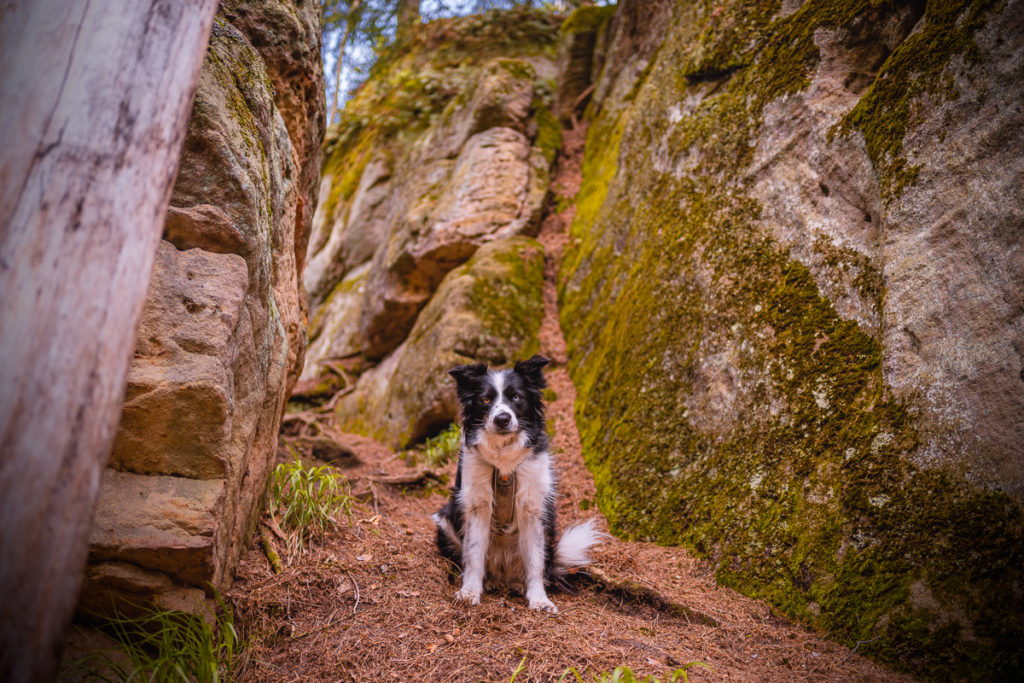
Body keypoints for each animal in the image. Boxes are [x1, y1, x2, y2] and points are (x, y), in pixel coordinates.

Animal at [430, 356, 602, 610]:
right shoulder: (477, 505)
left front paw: (539, 598)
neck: (504, 461)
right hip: (444, 521)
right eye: (485, 399)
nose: (502, 419)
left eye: (516, 397)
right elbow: (474, 555)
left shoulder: (533, 509)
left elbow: (535, 561)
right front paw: (470, 592)